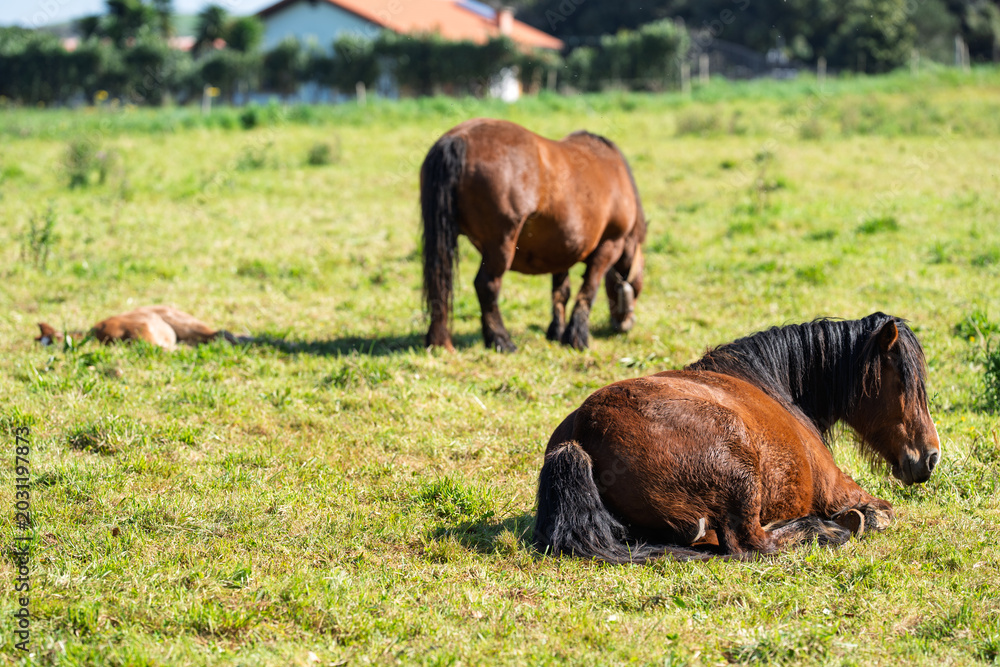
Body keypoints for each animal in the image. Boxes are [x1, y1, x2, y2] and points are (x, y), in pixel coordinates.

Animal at [420, 118, 647, 353]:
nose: (624, 325)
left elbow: (561, 292)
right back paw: (501, 340)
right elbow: (588, 290)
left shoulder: (562, 250)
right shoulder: (610, 245)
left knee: (440, 282)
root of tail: (459, 137)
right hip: (501, 245)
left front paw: (557, 331)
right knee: (486, 285)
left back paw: (439, 341)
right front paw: (577, 337)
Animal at [534, 312, 941, 562]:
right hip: (742, 479)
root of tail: (582, 434)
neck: (772, 384)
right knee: (752, 542)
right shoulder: (838, 488)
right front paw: (854, 520)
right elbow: (881, 512)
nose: (931, 456)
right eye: (904, 382)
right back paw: (819, 529)